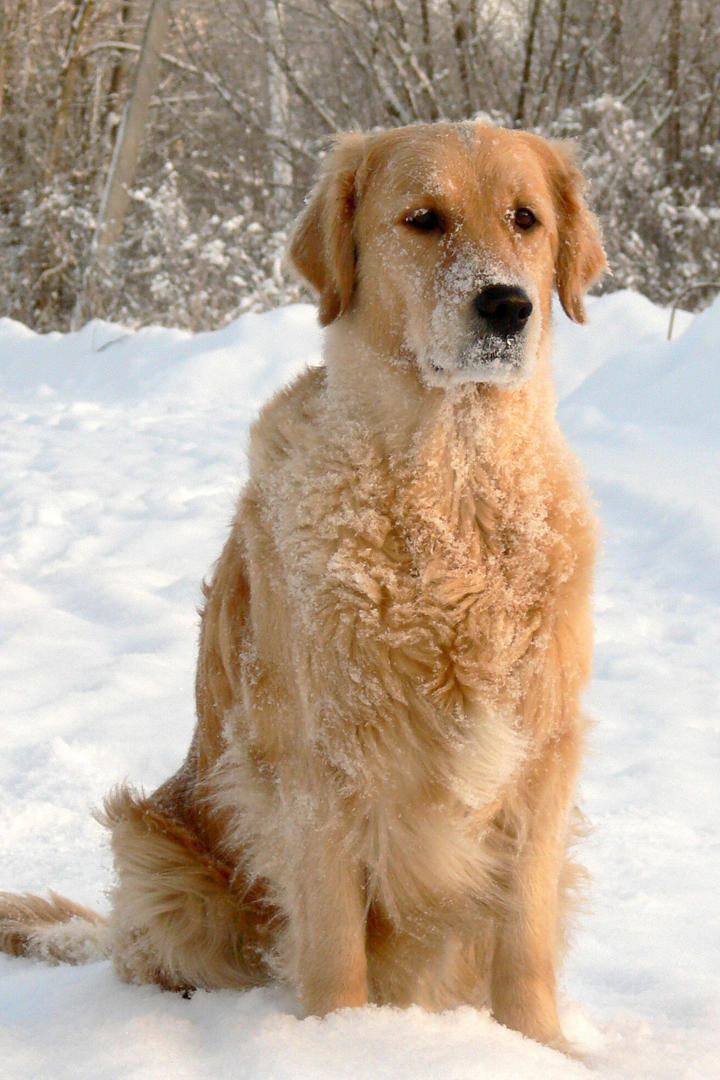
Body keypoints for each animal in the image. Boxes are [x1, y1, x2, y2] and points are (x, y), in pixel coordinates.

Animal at [0, 120, 608, 1054]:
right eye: (423, 219)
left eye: (525, 219)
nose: (507, 306)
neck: (451, 493)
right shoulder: (319, 765)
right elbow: (332, 952)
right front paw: (341, 1047)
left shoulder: (543, 752)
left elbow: (526, 945)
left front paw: (539, 1051)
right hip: (155, 850)